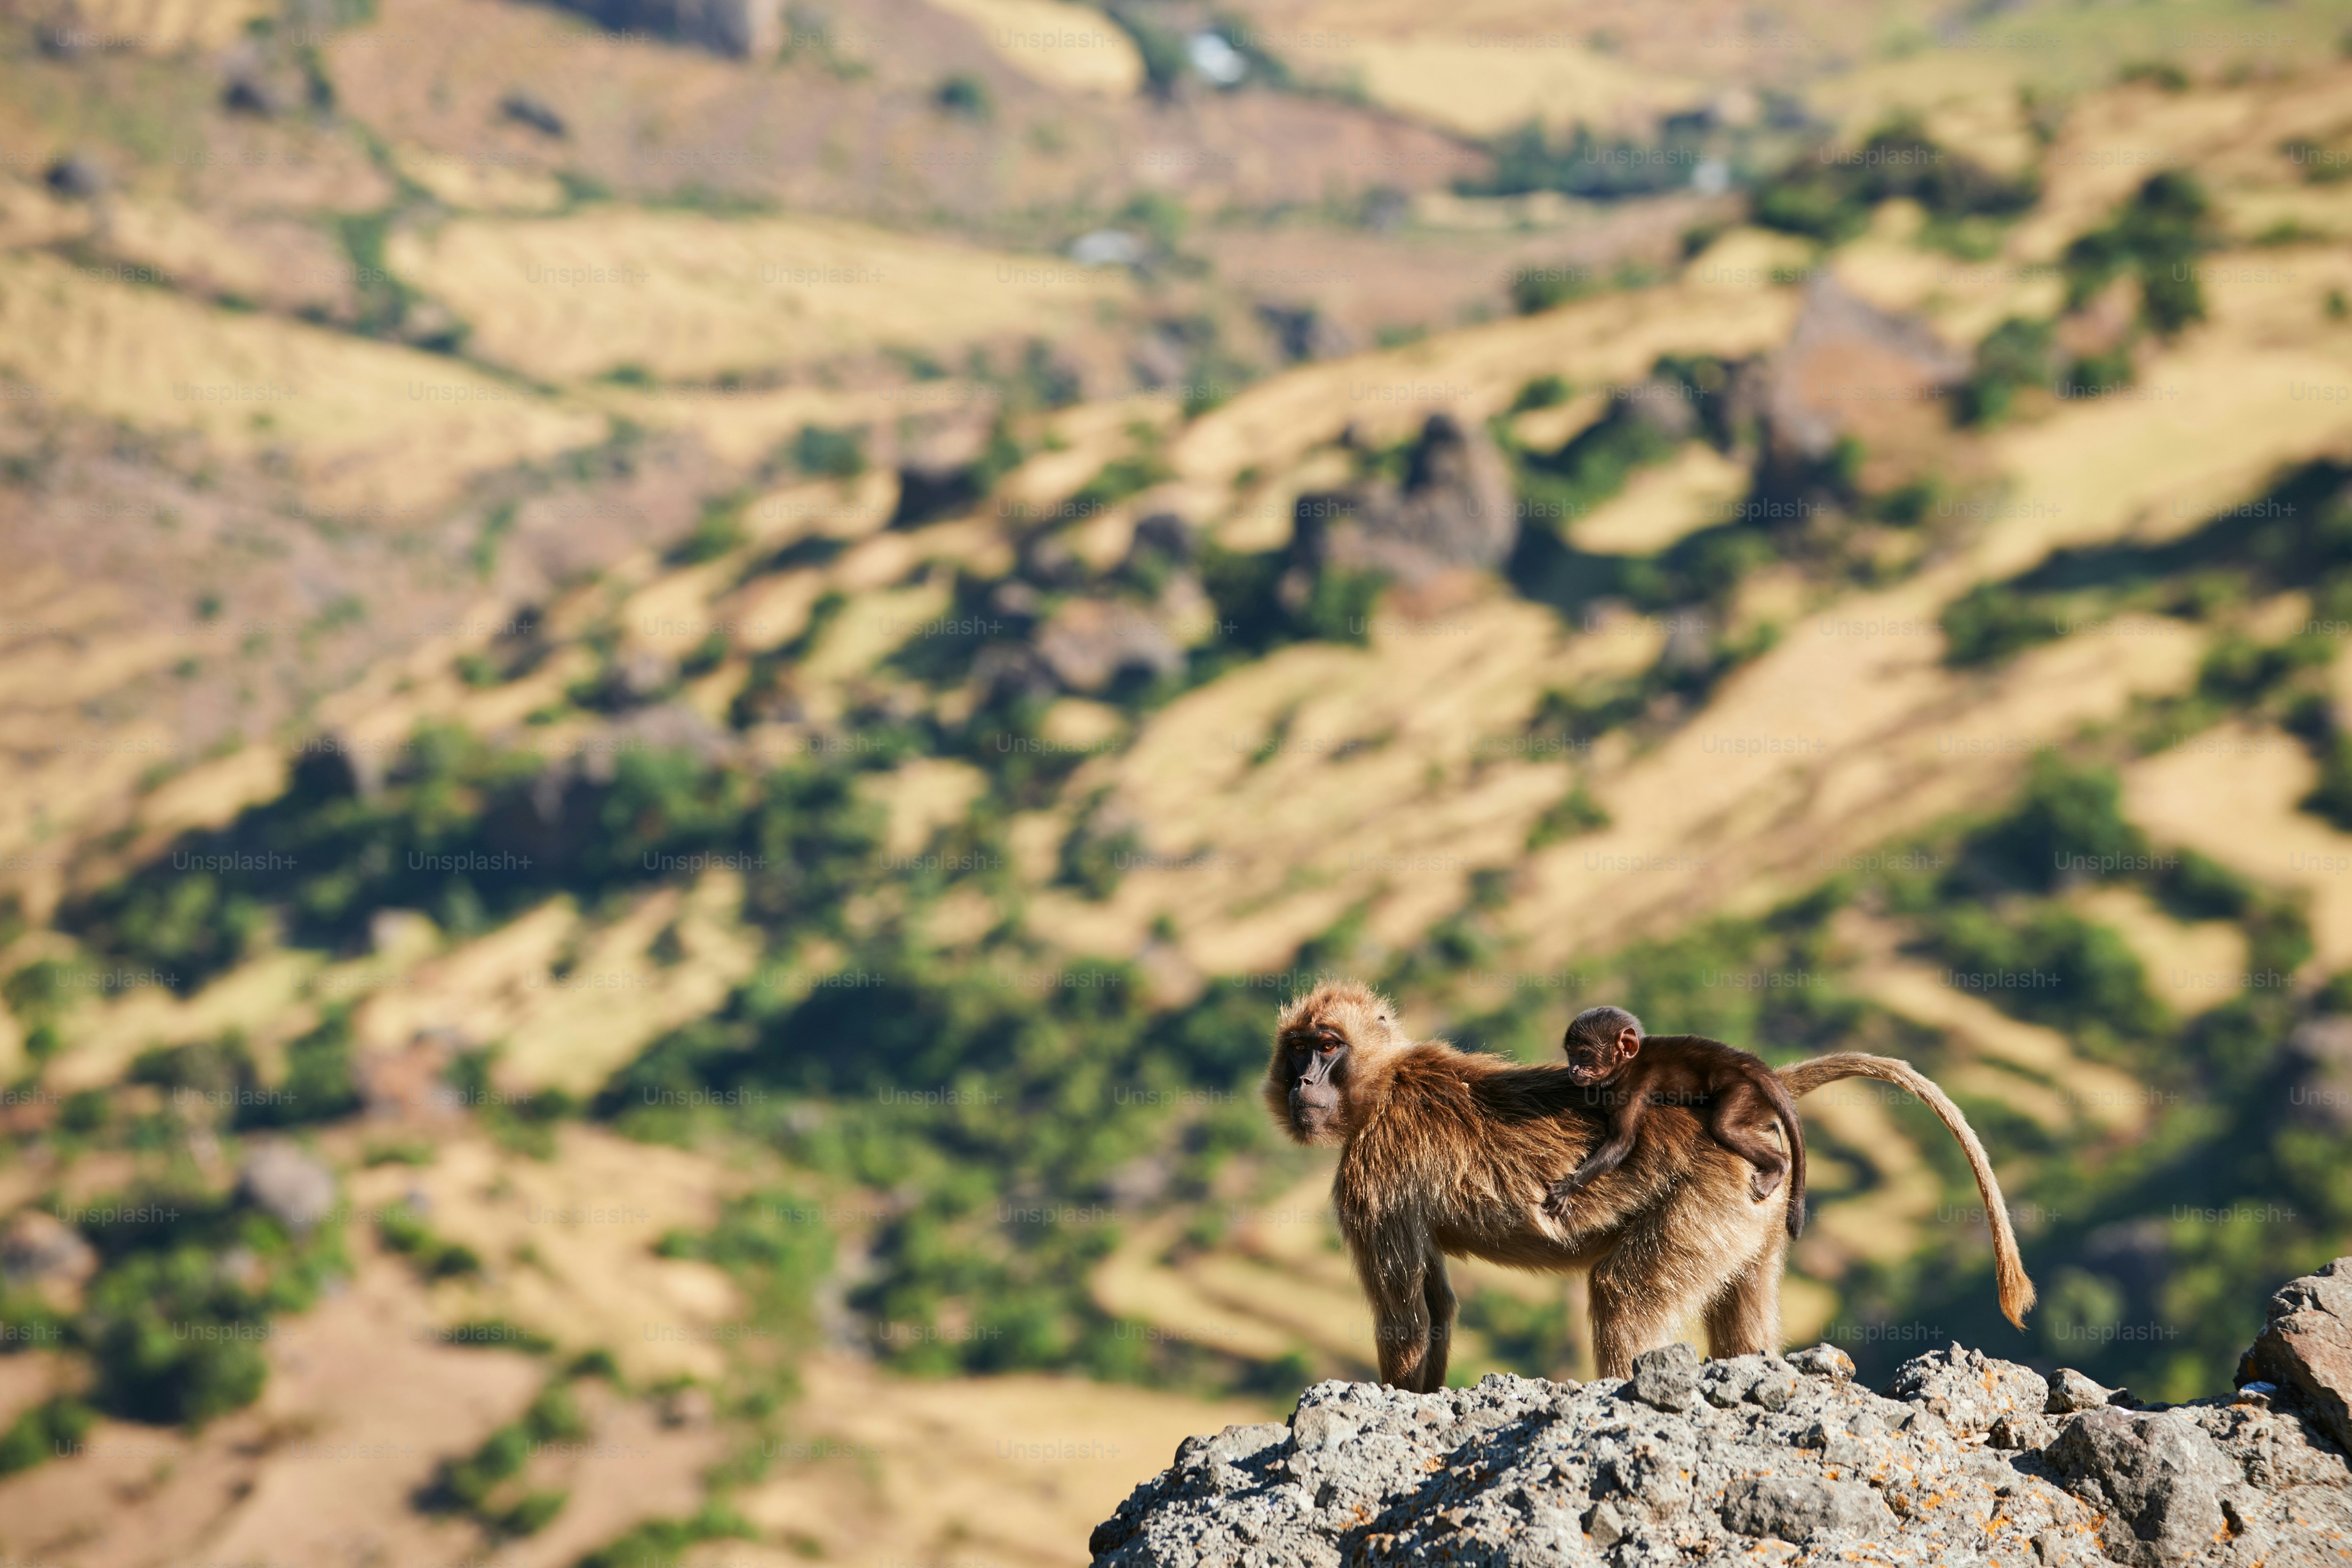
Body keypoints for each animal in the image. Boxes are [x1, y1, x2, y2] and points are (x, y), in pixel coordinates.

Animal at [1543, 1006, 1809, 1240]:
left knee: (1724, 1127)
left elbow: (1622, 1142)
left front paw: (1568, 1188)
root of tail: (1749, 1063)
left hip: (1746, 1090)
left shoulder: (1632, 1085)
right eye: (1571, 1054)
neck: (1629, 1064)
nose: (1574, 1069)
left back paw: (1778, 1166)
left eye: (1584, 1054)